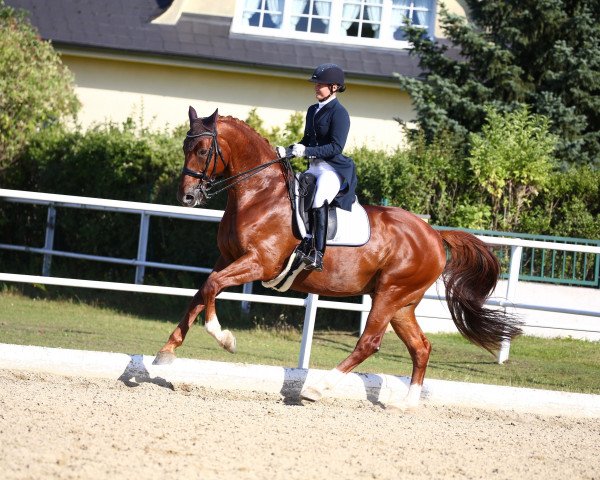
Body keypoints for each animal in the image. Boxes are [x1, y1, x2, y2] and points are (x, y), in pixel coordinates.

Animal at [154, 108, 520, 408]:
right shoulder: (227, 258)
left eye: (203, 151)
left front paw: (225, 338)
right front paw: (166, 352)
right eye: (185, 148)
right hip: (402, 303)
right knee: (421, 347)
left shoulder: (259, 263)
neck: (259, 194)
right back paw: (407, 404)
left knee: (369, 343)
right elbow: (203, 291)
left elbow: (213, 287)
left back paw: (316, 389)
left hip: (390, 294)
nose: (187, 197)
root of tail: (433, 234)